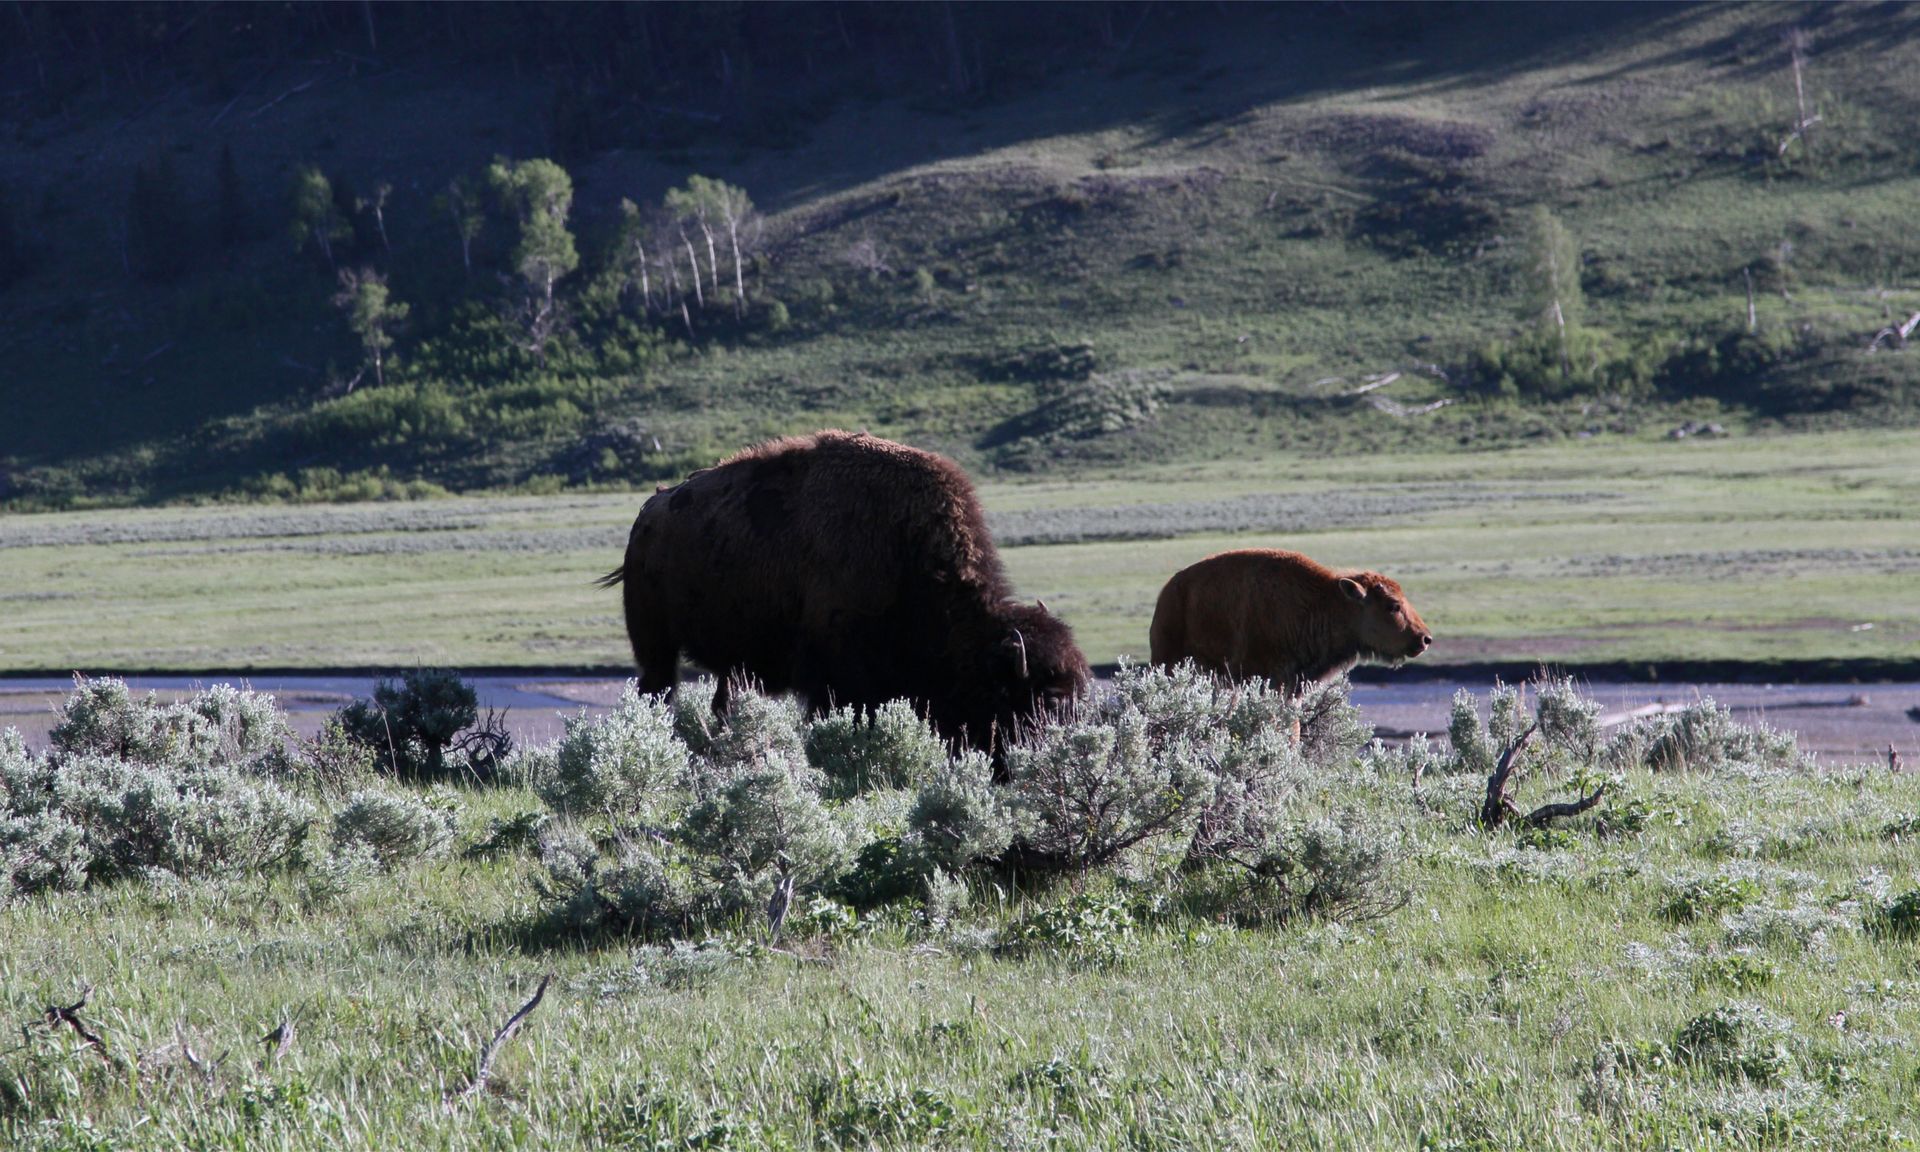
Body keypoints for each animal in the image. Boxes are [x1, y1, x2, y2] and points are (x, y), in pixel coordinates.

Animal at [600, 430, 1090, 753]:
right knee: (658, 691)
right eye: (1049, 699)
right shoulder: (834, 682)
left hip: (732, 664)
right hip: (657, 649)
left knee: (723, 701)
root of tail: (646, 519)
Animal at [1148, 548, 1432, 694]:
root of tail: (1169, 590)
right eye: (1393, 605)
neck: (1324, 603)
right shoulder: (1278, 682)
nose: (1425, 638)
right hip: (1168, 662)